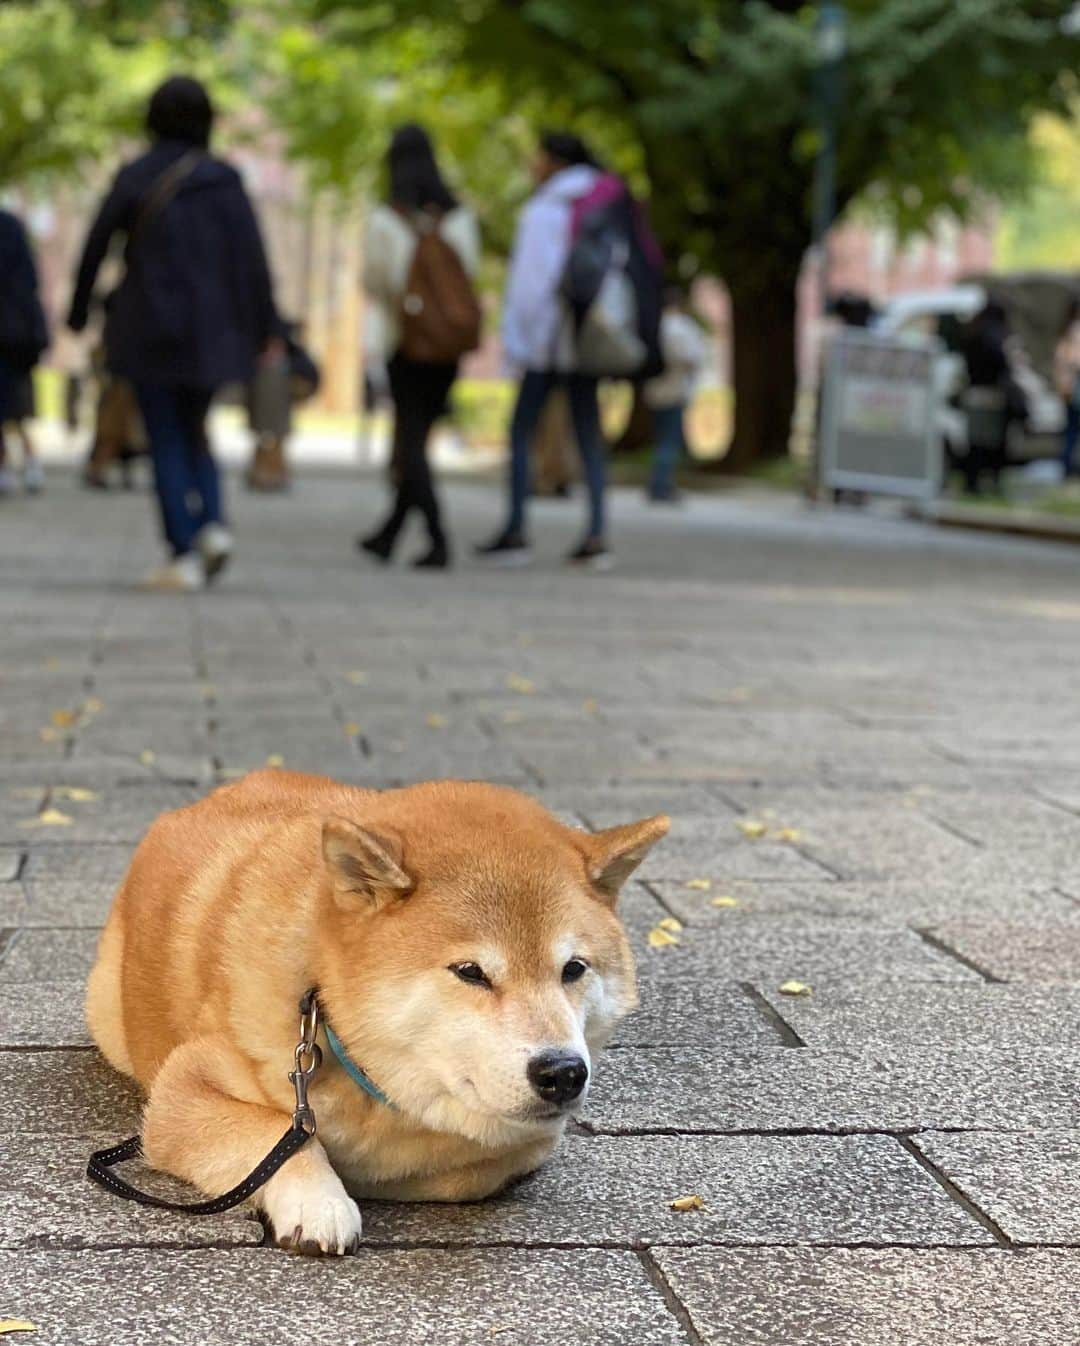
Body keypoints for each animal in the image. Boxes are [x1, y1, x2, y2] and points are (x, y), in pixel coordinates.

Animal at [86, 775, 665, 1254]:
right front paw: (320, 1198)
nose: (563, 1072)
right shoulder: (182, 1090)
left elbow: (461, 1173)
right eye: (470, 971)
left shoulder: (529, 1141)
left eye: (574, 968)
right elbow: (273, 1132)